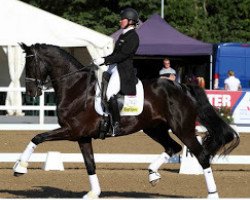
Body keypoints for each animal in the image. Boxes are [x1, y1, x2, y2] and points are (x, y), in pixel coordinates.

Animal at [14, 43, 240, 198]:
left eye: (31, 64)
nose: (31, 92)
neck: (75, 87)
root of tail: (183, 87)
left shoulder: (71, 131)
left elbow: (37, 137)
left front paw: (19, 167)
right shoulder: (83, 136)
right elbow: (90, 164)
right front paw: (94, 193)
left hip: (182, 129)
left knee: (201, 155)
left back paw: (212, 194)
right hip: (155, 128)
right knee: (173, 148)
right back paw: (152, 174)